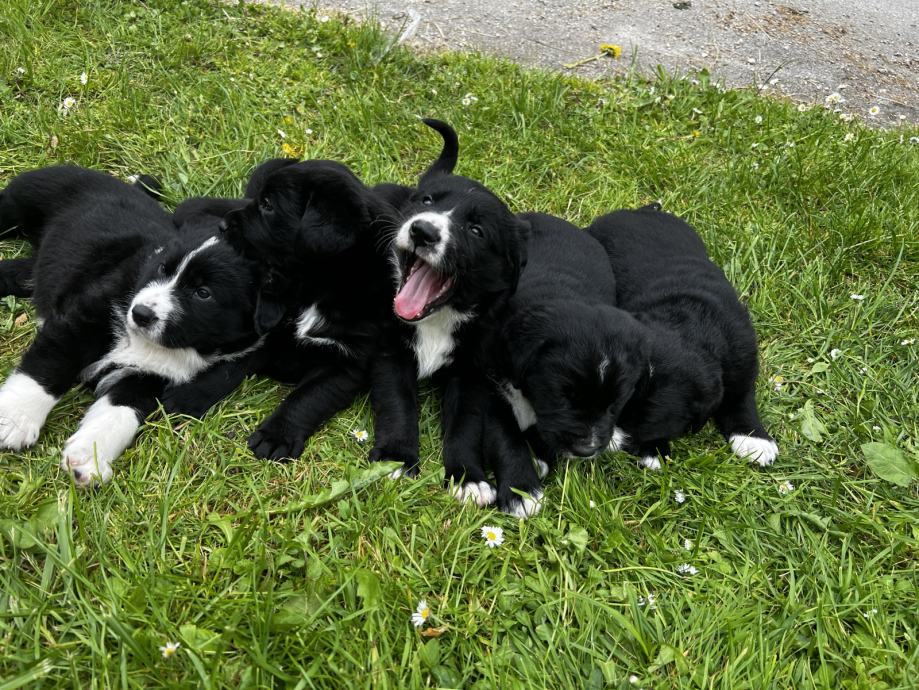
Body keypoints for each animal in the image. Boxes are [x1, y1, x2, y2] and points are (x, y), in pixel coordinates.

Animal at [0, 165, 264, 484]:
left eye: (203, 293)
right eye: (162, 268)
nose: (140, 314)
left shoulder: (149, 378)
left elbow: (120, 412)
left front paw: (89, 455)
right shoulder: (82, 321)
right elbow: (48, 367)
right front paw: (14, 419)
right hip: (19, 204)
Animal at [584, 202, 776, 464]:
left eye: (640, 423)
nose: (596, 443)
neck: (689, 324)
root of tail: (637, 211)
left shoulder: (743, 357)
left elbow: (741, 398)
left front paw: (753, 439)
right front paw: (654, 451)